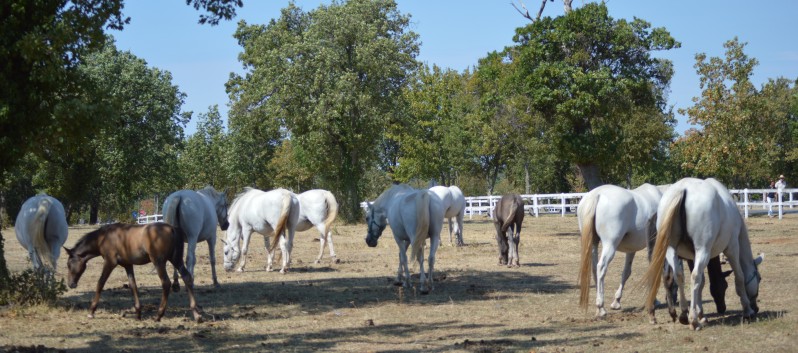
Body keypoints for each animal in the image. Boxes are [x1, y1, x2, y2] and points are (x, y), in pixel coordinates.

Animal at [65, 223, 203, 322]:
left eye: (68, 264)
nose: (71, 284)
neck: (104, 237)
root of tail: (172, 229)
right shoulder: (128, 265)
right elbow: (133, 286)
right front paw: (138, 313)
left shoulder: (110, 262)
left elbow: (100, 283)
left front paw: (91, 311)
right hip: (176, 260)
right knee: (187, 278)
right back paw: (196, 315)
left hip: (158, 262)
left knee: (166, 283)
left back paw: (159, 315)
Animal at [580, 184, 664, 316]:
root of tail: (597, 195)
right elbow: (654, 268)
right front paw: (654, 300)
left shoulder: (631, 249)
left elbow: (626, 272)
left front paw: (617, 301)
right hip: (610, 245)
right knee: (601, 267)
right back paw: (600, 307)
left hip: (593, 244)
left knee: (594, 269)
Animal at [644, 177, 768, 328]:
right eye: (759, 278)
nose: (756, 308)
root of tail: (682, 189)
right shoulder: (732, 248)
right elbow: (739, 277)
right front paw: (747, 310)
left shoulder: (691, 257)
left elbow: (701, 283)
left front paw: (700, 313)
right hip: (702, 250)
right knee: (694, 276)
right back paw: (692, 320)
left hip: (670, 251)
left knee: (678, 276)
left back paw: (683, 314)